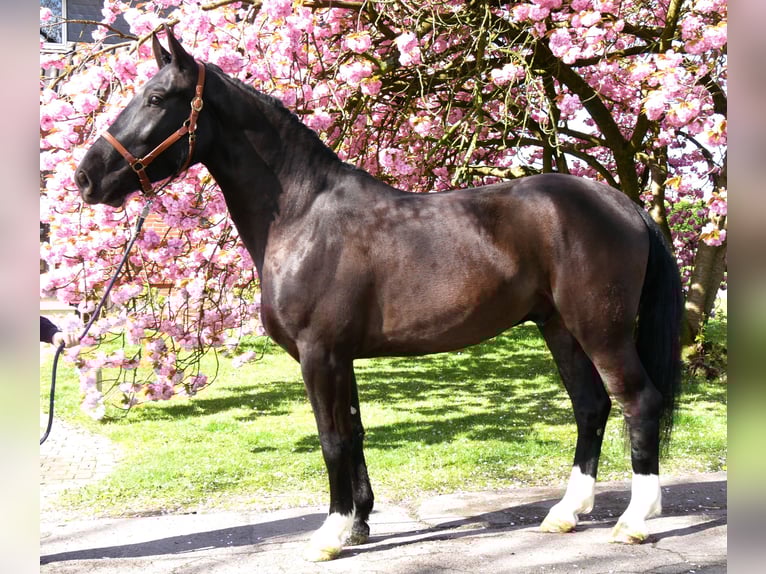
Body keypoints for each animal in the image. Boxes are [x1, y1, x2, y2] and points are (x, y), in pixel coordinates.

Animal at [75, 28, 683, 561]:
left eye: (156, 98)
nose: (85, 178)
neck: (301, 215)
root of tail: (623, 204)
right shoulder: (340, 356)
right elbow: (355, 432)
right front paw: (359, 522)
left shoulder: (319, 354)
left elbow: (332, 439)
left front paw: (329, 534)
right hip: (558, 327)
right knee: (591, 405)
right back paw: (565, 513)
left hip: (599, 328)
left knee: (637, 402)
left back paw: (634, 521)